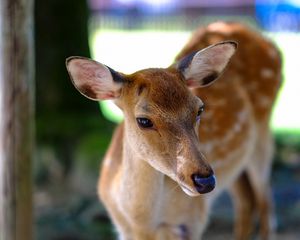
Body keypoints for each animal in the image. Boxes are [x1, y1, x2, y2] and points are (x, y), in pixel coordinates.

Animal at [65, 21, 282, 240]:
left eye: (199, 109)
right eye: (143, 120)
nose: (205, 180)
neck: (142, 224)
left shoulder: (193, 220)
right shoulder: (122, 228)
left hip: (264, 133)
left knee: (266, 203)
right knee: (247, 201)